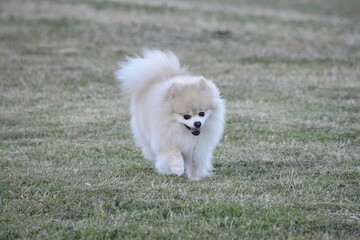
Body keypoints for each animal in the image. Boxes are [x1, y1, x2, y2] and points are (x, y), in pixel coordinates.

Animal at [116, 49, 225, 180]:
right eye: (186, 116)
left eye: (202, 113)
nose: (197, 123)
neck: (184, 133)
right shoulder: (167, 140)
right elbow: (174, 154)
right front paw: (177, 169)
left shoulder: (198, 148)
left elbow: (195, 162)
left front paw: (195, 176)